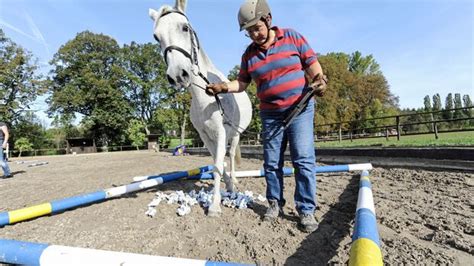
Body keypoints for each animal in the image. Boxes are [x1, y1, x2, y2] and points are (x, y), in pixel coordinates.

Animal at [149, 0, 254, 216]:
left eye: (185, 27)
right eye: (156, 37)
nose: (177, 75)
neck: (205, 99)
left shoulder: (222, 132)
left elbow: (219, 165)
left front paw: (214, 206)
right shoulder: (205, 136)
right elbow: (216, 163)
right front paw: (226, 187)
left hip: (235, 134)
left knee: (231, 155)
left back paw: (235, 179)